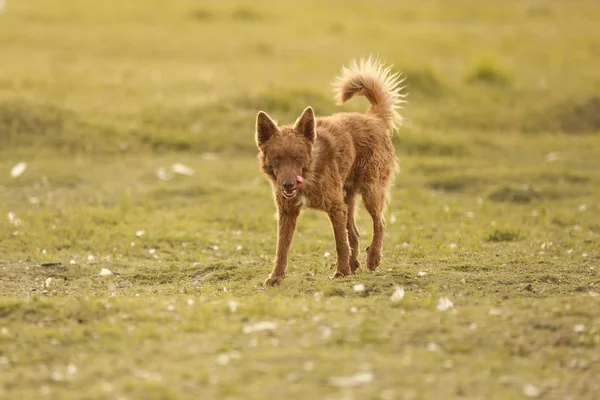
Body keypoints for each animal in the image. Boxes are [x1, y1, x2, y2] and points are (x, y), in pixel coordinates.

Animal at [255, 57, 406, 286]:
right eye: (277, 158)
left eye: (298, 158)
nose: (288, 184)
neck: (310, 173)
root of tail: (374, 118)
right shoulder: (287, 213)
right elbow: (282, 248)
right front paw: (276, 277)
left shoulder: (335, 208)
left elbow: (340, 243)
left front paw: (341, 272)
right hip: (348, 200)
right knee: (354, 234)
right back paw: (354, 264)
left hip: (370, 191)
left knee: (379, 223)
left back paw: (372, 258)